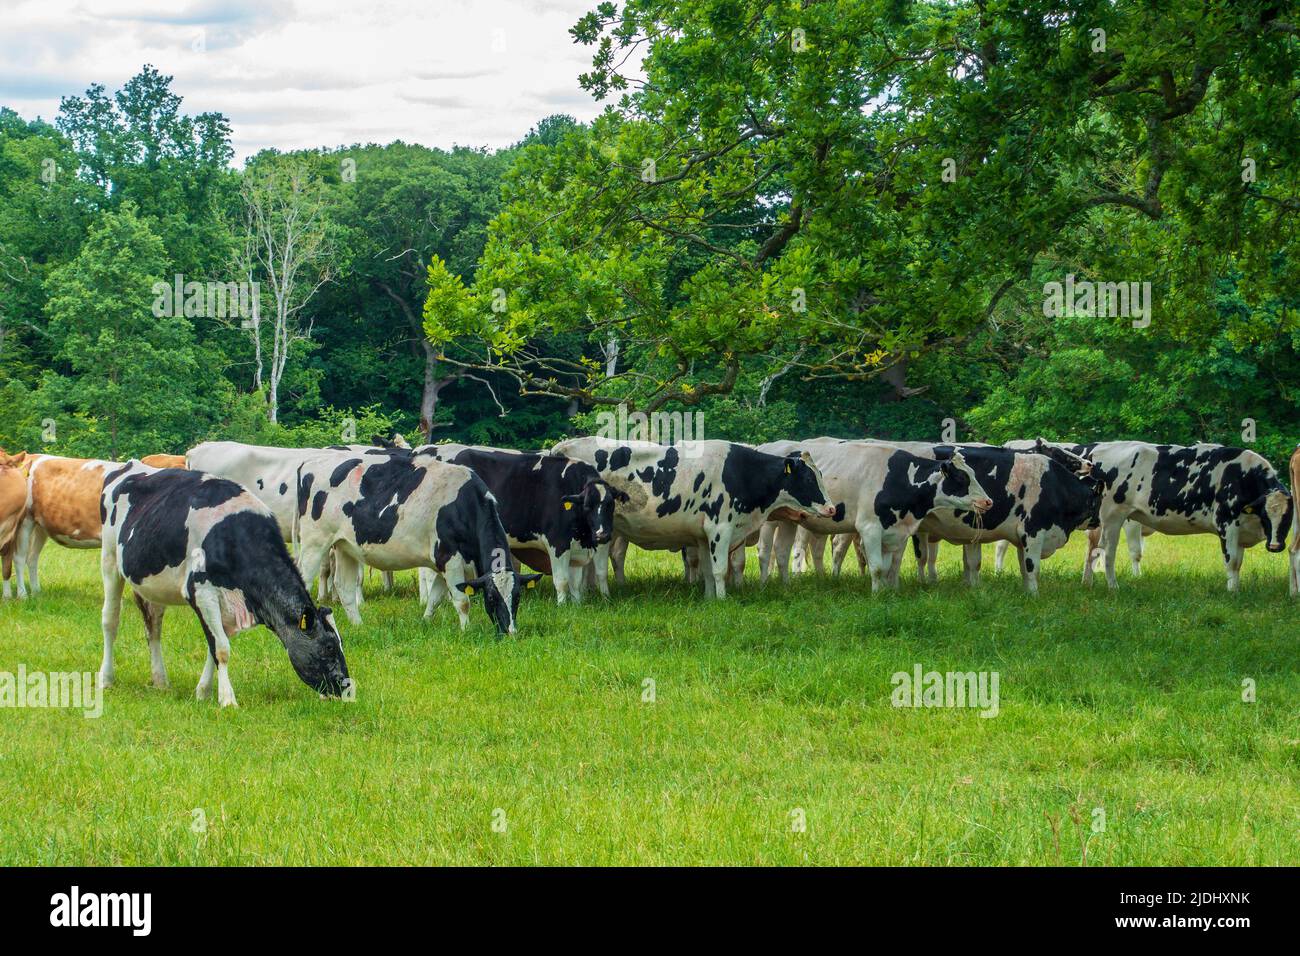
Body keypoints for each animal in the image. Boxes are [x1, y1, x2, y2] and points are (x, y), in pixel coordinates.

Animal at [98, 463, 351, 712]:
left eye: (340, 644)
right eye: (329, 647)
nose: (347, 686)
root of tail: (127, 466)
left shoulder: (228, 604)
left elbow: (213, 647)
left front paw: (203, 692)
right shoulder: (202, 592)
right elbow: (221, 648)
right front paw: (227, 699)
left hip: (152, 585)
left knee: (153, 626)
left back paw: (160, 680)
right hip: (109, 559)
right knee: (110, 620)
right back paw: (106, 679)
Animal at [293, 450, 538, 632]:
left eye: (517, 597)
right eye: (491, 597)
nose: (510, 632)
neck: (464, 505)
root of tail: (310, 461)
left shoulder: (442, 563)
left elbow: (435, 598)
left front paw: (426, 622)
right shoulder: (449, 557)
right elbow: (462, 601)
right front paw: (466, 630)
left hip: (345, 546)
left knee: (344, 587)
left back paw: (358, 625)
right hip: (315, 542)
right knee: (304, 579)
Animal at [426, 442, 629, 606]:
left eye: (611, 505)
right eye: (587, 506)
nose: (602, 534)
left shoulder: (578, 548)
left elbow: (576, 583)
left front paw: (577, 605)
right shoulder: (557, 543)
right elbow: (562, 580)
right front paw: (562, 606)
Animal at [548, 439, 832, 598]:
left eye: (820, 475)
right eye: (809, 479)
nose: (831, 509)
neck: (740, 472)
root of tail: (564, 446)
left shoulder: (703, 535)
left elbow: (706, 569)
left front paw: (709, 598)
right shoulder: (720, 528)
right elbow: (719, 569)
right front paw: (722, 600)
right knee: (597, 567)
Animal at [754, 439, 993, 590]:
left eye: (973, 474)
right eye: (961, 478)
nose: (988, 501)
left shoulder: (894, 531)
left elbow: (887, 567)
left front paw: (887, 591)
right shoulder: (869, 528)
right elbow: (877, 567)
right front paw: (877, 595)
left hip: (788, 519)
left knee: (782, 551)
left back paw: (786, 586)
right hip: (768, 520)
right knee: (765, 552)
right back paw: (764, 584)